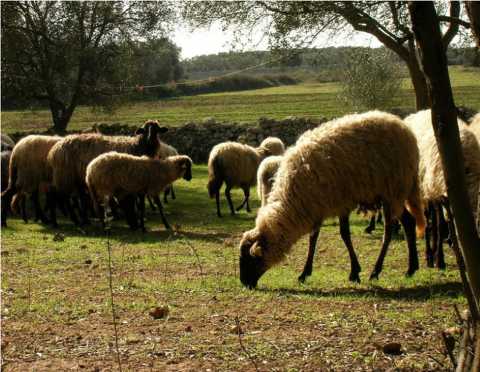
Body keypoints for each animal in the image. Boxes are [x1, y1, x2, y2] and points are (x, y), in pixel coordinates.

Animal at [238, 109, 426, 288]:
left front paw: (355, 272)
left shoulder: (341, 202)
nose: (244, 283)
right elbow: (313, 238)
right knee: (409, 222)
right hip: (394, 194)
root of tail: (403, 127)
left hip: (392, 190)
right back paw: (411, 268)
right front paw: (305, 273)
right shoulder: (317, 206)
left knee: (389, 230)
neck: (293, 200)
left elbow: (344, 235)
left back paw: (376, 271)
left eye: (250, 259)